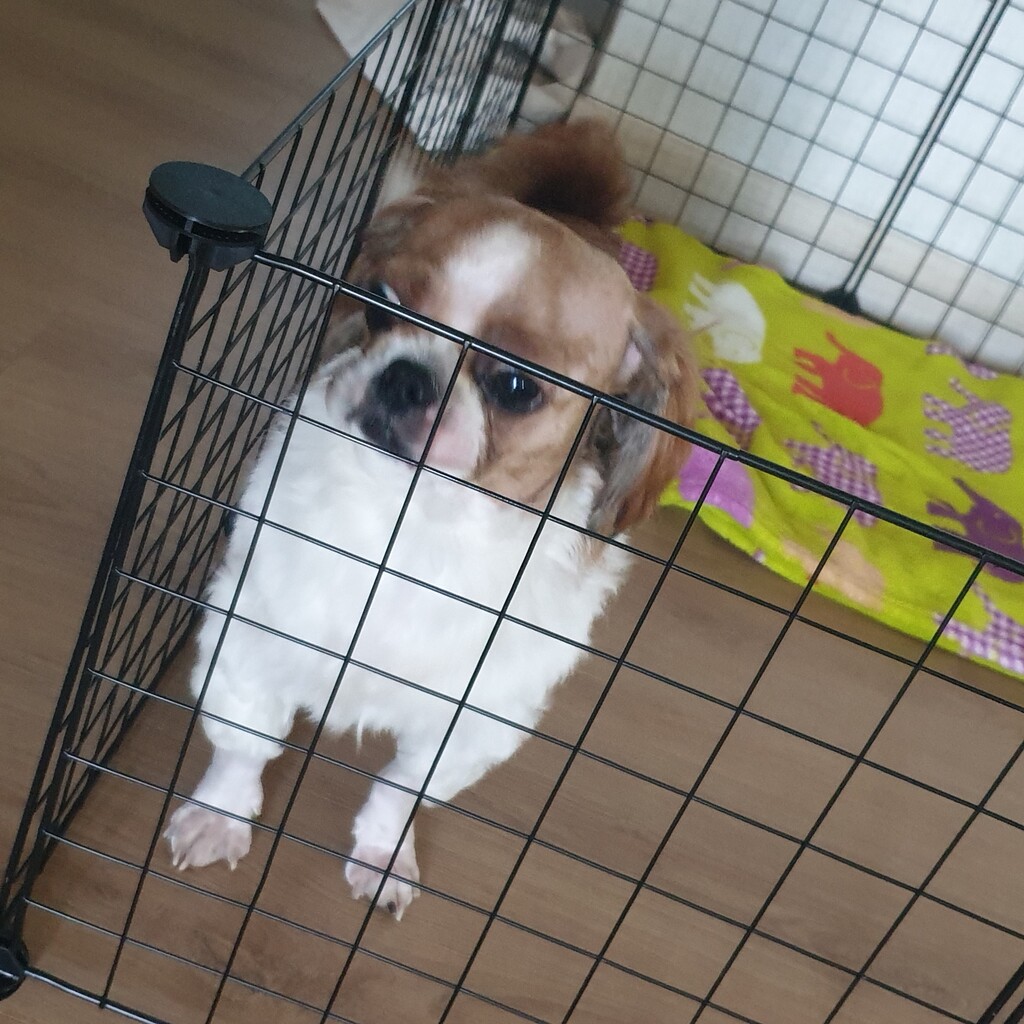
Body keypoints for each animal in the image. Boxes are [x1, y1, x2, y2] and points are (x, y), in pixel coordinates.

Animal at [163, 120, 696, 919]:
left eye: (516, 386)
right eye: (379, 304)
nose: (405, 376)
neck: (414, 528)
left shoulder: (474, 723)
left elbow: (402, 788)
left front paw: (384, 853)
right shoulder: (252, 636)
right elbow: (244, 742)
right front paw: (219, 817)